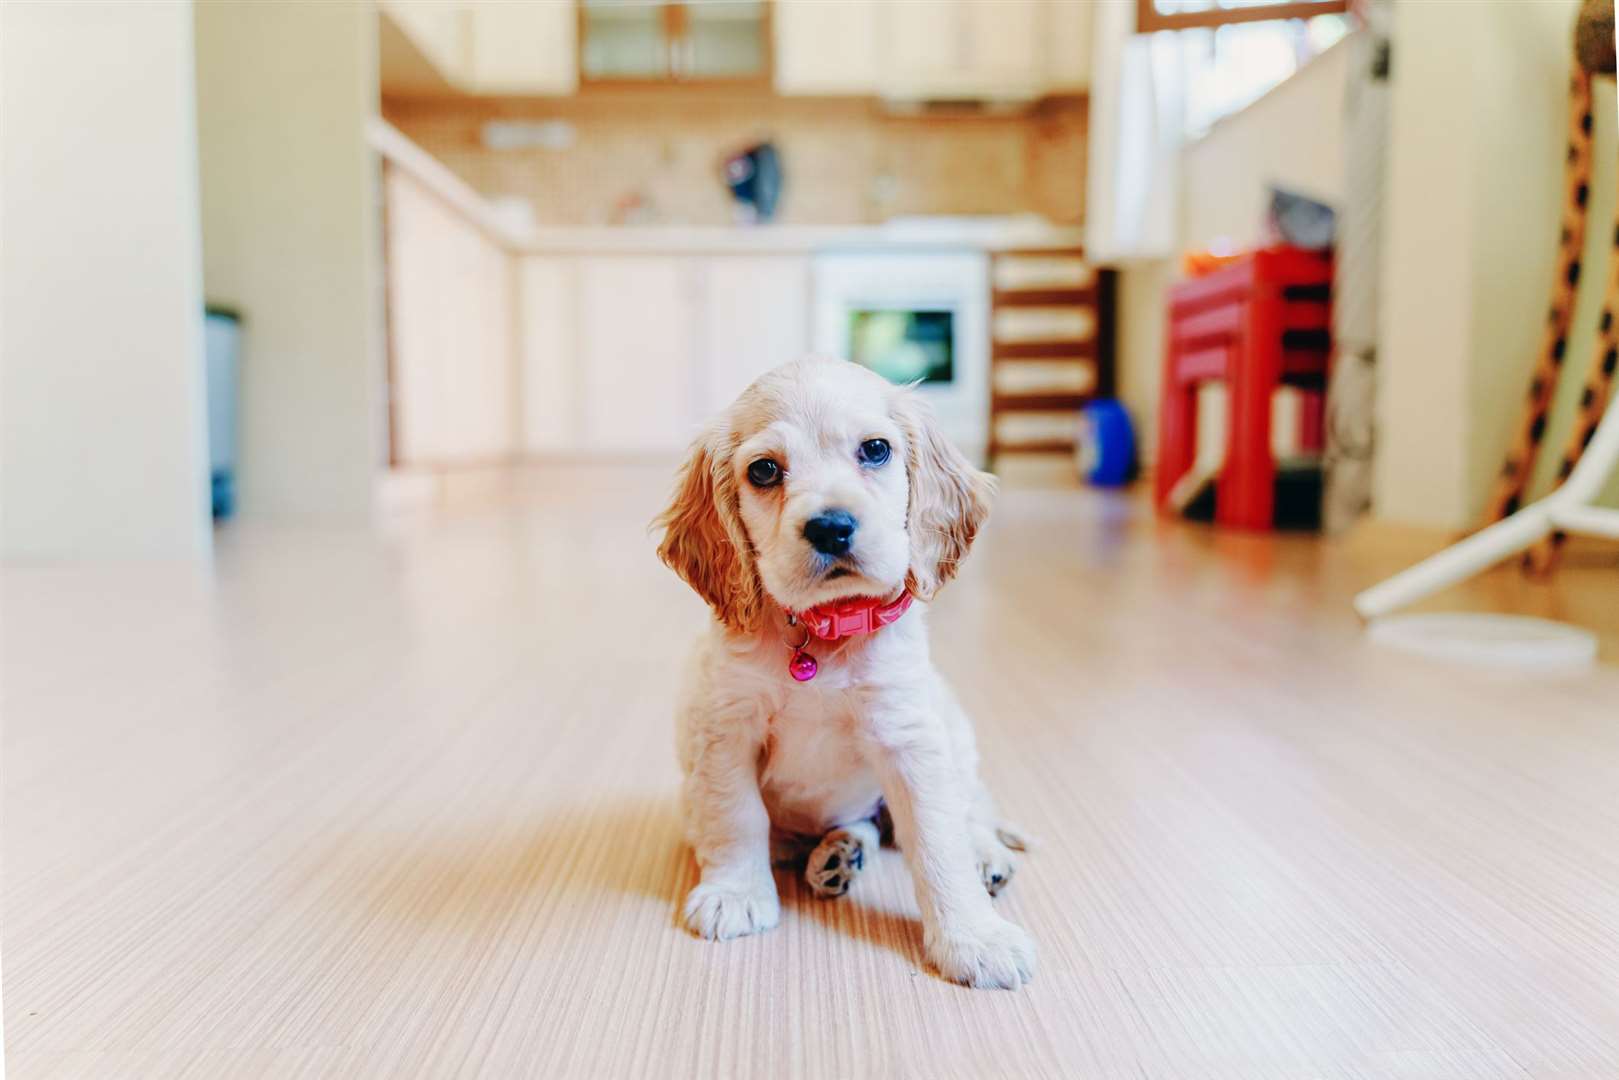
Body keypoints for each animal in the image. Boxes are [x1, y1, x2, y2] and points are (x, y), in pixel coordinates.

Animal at [657, 359, 1036, 990]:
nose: (831, 527)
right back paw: (837, 855)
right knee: (846, 827)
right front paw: (735, 894)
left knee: (968, 807)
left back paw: (982, 855)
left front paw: (973, 939)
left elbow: (937, 841)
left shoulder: (909, 738)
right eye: (764, 470)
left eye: (875, 449)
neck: (824, 631)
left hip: (952, 731)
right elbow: (735, 816)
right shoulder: (724, 728)